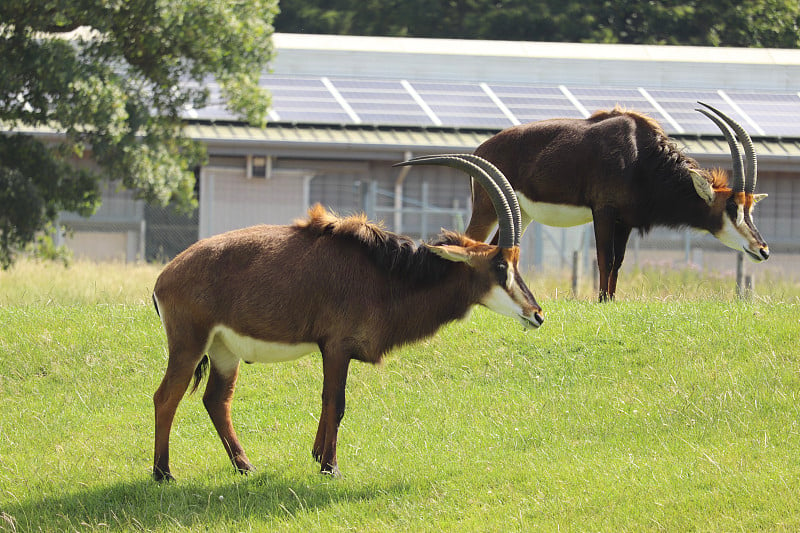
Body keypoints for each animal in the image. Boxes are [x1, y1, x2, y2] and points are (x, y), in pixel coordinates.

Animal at [150, 153, 544, 478]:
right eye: (500, 265)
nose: (537, 314)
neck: (386, 273)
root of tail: (165, 277)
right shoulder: (338, 347)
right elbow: (335, 403)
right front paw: (330, 467)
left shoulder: (334, 351)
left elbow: (327, 402)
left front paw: (316, 456)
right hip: (189, 344)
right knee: (166, 396)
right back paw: (163, 473)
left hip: (224, 352)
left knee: (216, 400)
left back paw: (245, 466)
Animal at [450, 100, 768, 300]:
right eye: (732, 207)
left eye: (751, 206)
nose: (763, 250)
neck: (640, 155)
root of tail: (480, 151)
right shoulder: (603, 210)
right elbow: (606, 257)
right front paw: (601, 299)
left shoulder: (624, 220)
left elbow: (619, 260)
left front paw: (611, 299)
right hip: (486, 208)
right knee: (469, 240)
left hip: (520, 214)